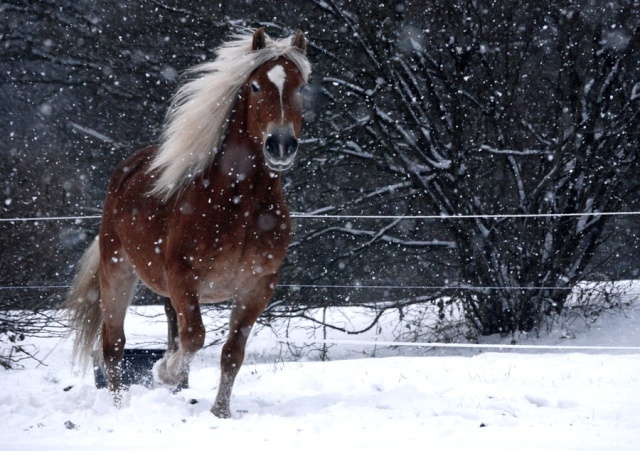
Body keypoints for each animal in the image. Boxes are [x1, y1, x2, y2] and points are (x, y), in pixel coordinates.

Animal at [65, 26, 312, 418]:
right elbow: (195, 337)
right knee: (113, 345)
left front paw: (220, 412)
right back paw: (119, 408)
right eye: (256, 87)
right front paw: (166, 372)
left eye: (301, 87)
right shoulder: (184, 278)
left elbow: (232, 353)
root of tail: (127, 171)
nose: (281, 145)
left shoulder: (258, 287)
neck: (240, 206)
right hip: (117, 271)